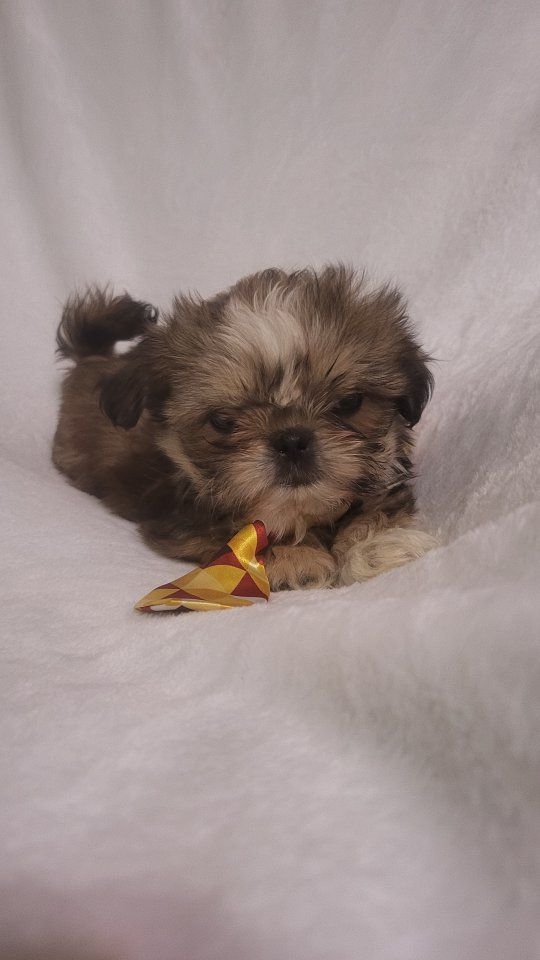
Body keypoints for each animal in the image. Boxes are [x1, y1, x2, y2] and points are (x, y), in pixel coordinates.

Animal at [52, 265, 434, 590]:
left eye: (349, 403)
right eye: (223, 421)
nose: (292, 440)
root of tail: (90, 357)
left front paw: (378, 545)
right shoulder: (187, 519)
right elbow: (251, 533)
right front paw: (297, 559)